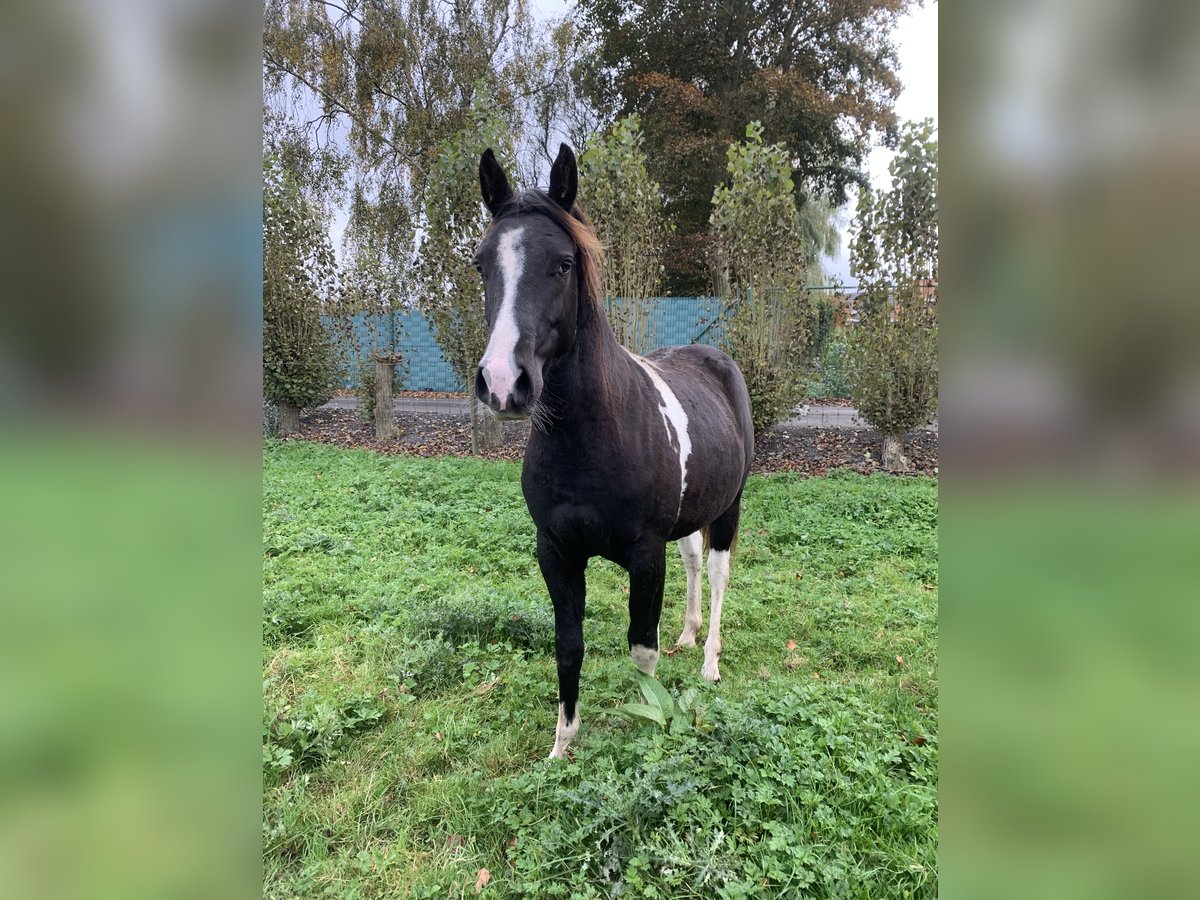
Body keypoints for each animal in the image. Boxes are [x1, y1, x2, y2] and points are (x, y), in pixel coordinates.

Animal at [472, 144, 753, 758]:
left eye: (563, 264)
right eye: (481, 264)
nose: (503, 383)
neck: (591, 442)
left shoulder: (644, 555)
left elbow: (641, 649)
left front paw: (649, 724)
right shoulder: (556, 552)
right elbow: (568, 644)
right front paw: (562, 746)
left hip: (729, 508)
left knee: (717, 573)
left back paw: (710, 661)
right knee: (692, 560)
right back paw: (688, 632)